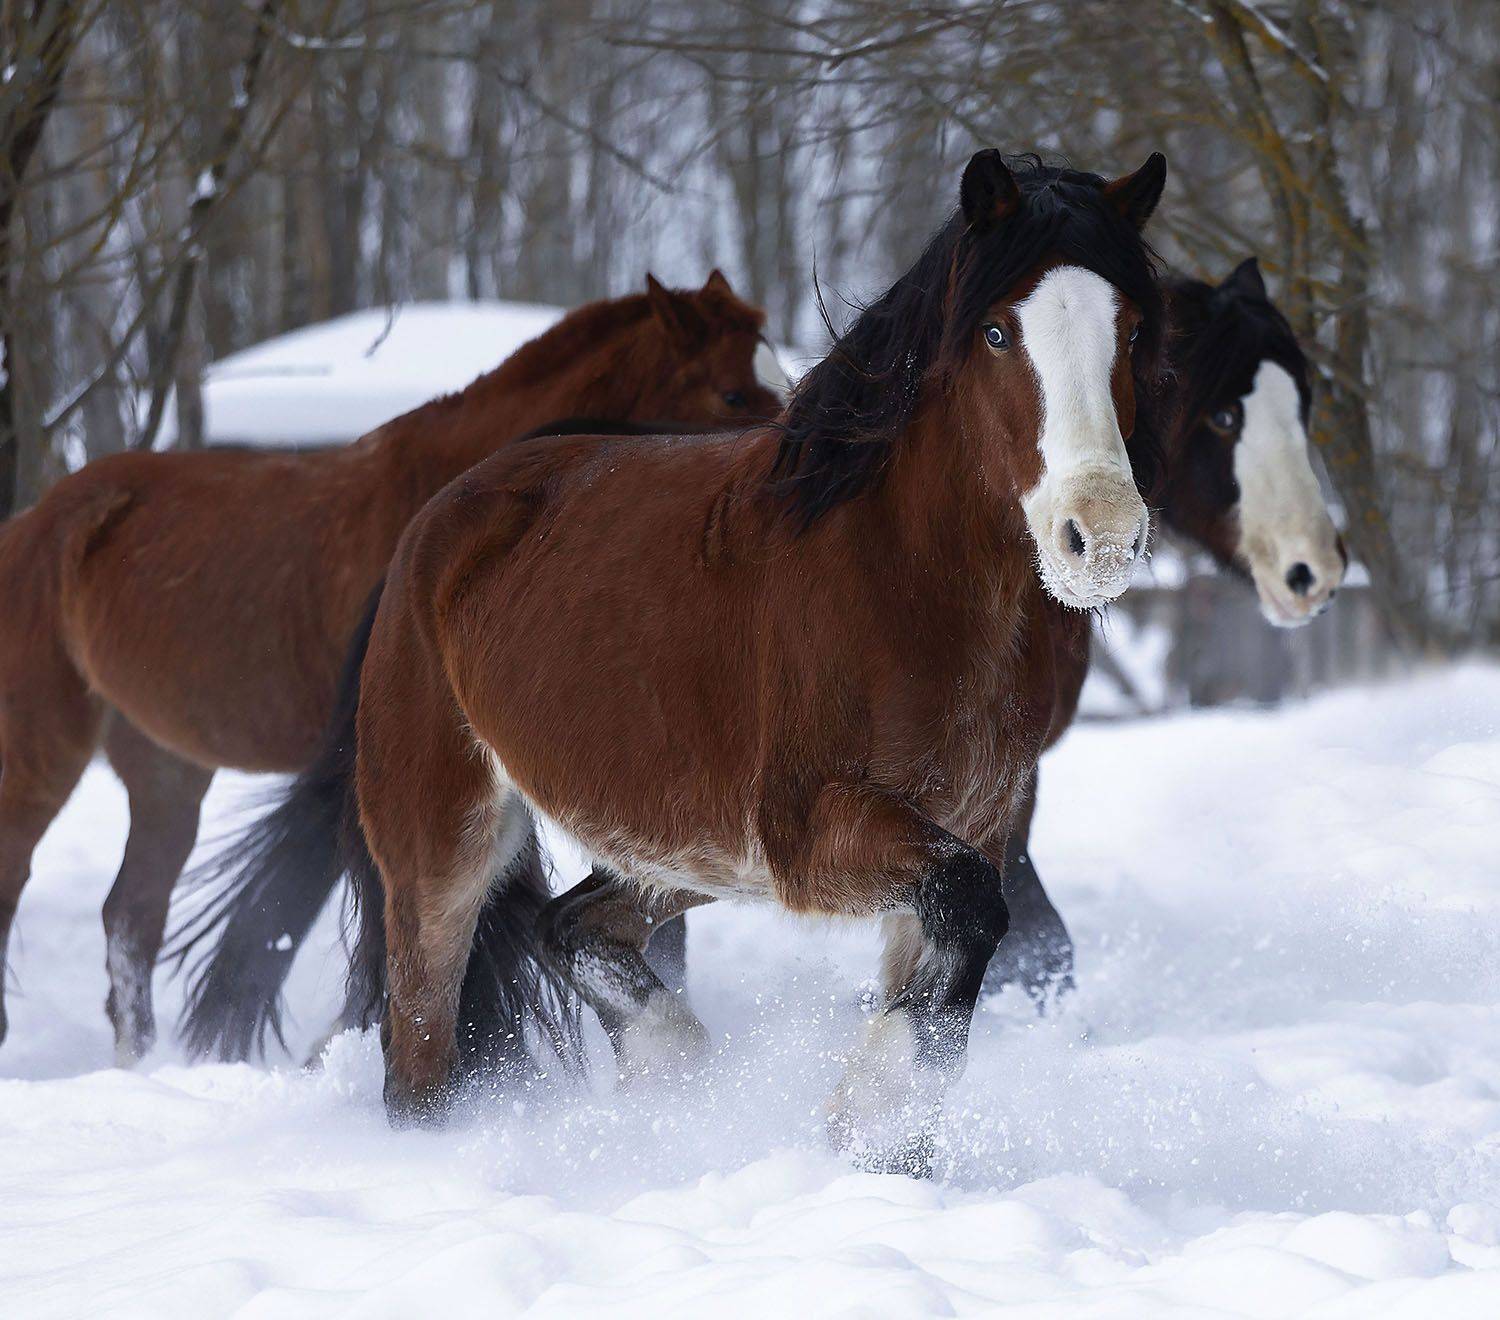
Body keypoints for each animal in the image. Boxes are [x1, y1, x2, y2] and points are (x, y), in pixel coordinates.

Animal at [185, 148, 1172, 1173]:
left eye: (1134, 327)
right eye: (996, 331)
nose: (1100, 537)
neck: (902, 583)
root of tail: (435, 521)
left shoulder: (967, 830)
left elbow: (952, 970)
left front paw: (887, 1152)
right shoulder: (816, 833)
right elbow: (973, 914)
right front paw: (868, 1111)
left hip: (679, 851)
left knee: (569, 924)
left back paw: (674, 1070)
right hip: (443, 855)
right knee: (420, 1058)